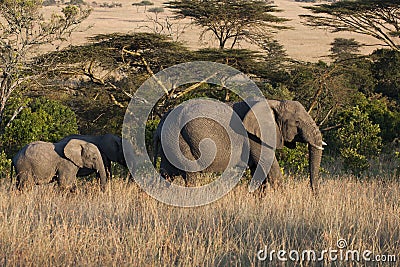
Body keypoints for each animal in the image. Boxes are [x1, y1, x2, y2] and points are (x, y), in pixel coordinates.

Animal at [153, 98, 324, 193]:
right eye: (297, 122)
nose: (315, 196)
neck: (273, 102)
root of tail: (160, 123)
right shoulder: (253, 137)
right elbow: (270, 167)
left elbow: (257, 172)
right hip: (179, 139)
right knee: (191, 175)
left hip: (170, 140)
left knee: (166, 175)